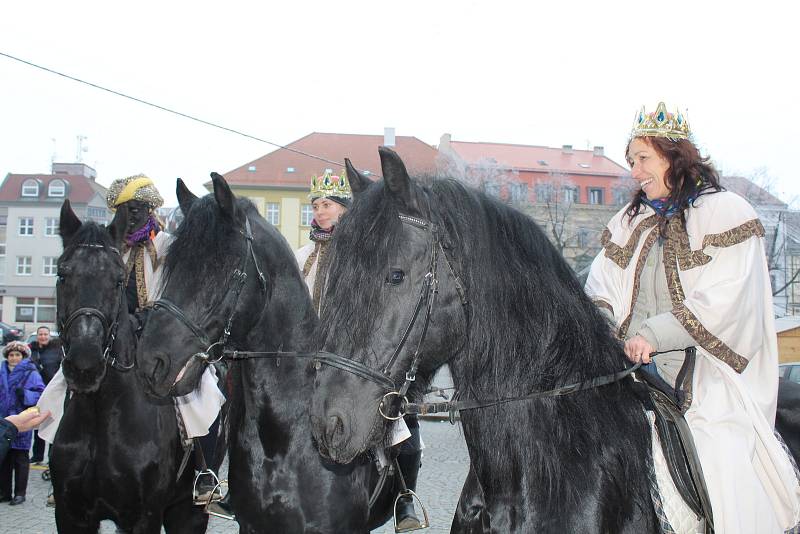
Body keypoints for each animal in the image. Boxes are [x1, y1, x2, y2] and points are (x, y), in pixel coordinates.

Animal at [50, 202, 206, 534]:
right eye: (62, 274)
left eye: (118, 280)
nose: (85, 364)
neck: (101, 413)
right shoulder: (70, 514)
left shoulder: (143, 515)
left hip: (187, 510)